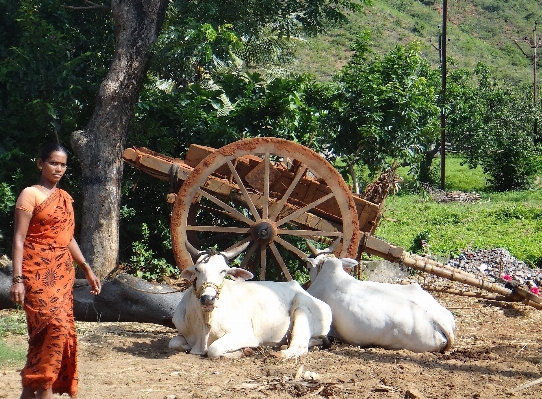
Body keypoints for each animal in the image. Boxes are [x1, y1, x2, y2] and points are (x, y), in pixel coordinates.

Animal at [168, 245, 334, 360]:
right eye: (197, 269)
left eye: (224, 271)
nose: (208, 298)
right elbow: (173, 343)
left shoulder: (246, 335)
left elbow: (213, 350)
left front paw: (243, 351)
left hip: (302, 304)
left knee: (300, 347)